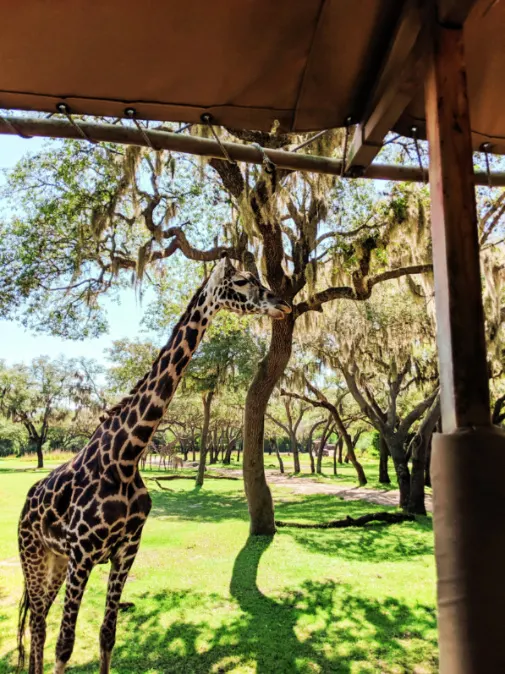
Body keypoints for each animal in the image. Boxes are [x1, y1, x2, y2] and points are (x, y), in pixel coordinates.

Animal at [15, 253, 290, 672]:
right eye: (243, 281)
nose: (282, 303)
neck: (127, 454)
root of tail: (26, 502)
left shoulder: (126, 550)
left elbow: (107, 635)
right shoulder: (82, 554)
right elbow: (66, 645)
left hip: (54, 558)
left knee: (39, 617)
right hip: (32, 552)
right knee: (39, 622)